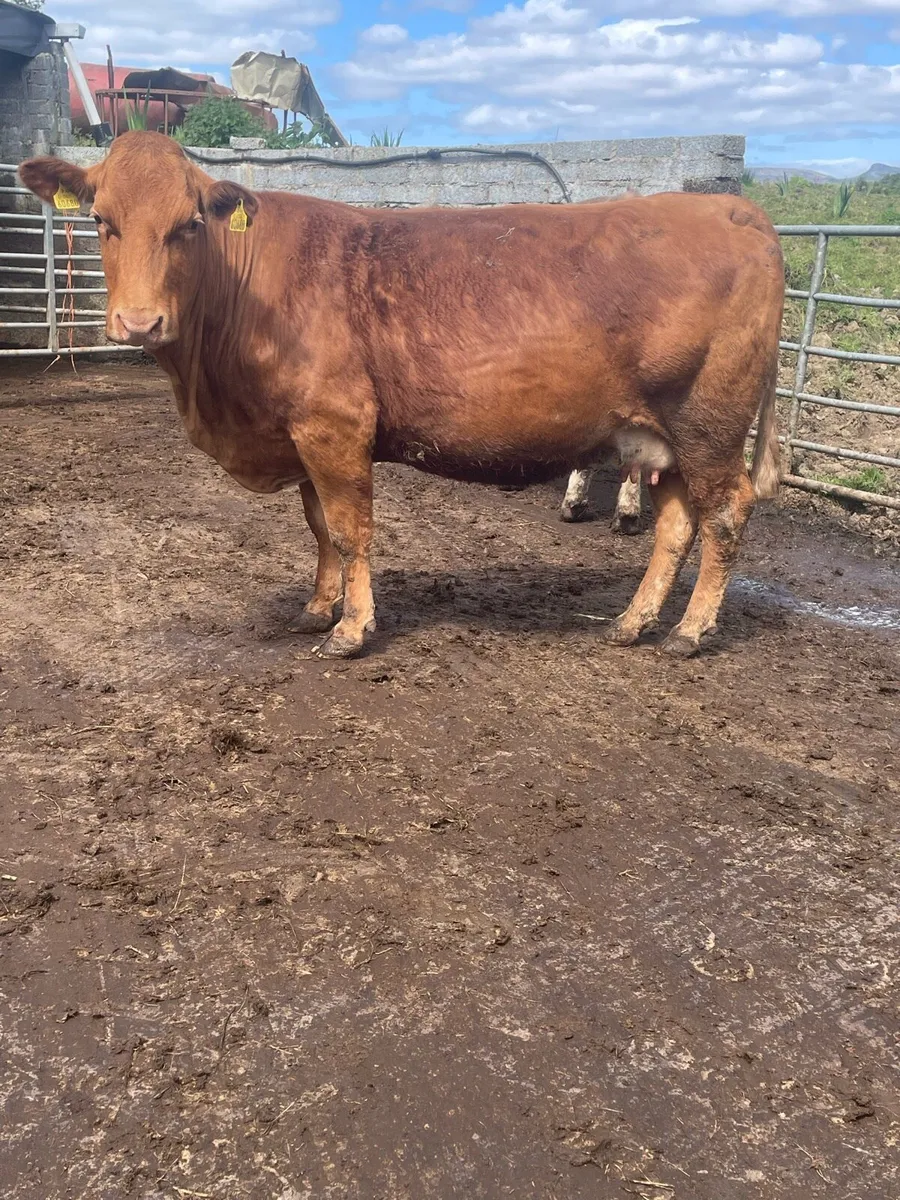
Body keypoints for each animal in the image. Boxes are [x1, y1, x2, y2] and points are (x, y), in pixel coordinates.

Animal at [20, 133, 783, 659]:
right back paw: (633, 622)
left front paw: (352, 629)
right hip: (663, 438)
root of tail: (732, 207)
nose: (139, 322)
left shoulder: (335, 425)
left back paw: (690, 631)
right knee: (676, 523)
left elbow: (351, 529)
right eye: (102, 221)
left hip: (709, 423)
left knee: (724, 515)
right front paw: (318, 606)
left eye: (188, 224)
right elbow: (320, 526)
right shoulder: (303, 433)